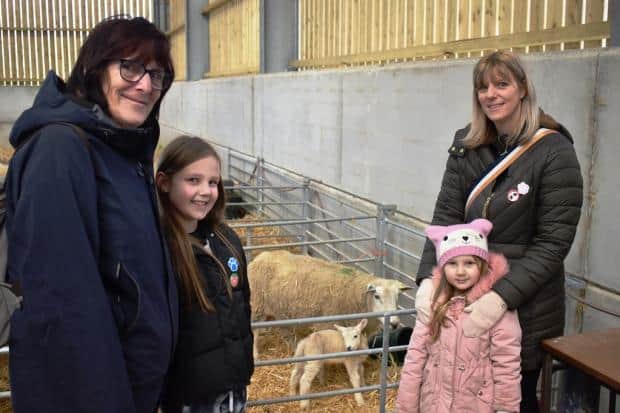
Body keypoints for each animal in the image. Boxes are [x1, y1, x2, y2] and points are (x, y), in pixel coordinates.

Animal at [247, 248, 412, 358]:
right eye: (377, 296)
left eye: (398, 297)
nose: (395, 323)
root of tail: (259, 257)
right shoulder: (326, 324)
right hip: (256, 305)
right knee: (254, 331)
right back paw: (255, 355)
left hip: (279, 308)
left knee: (283, 329)